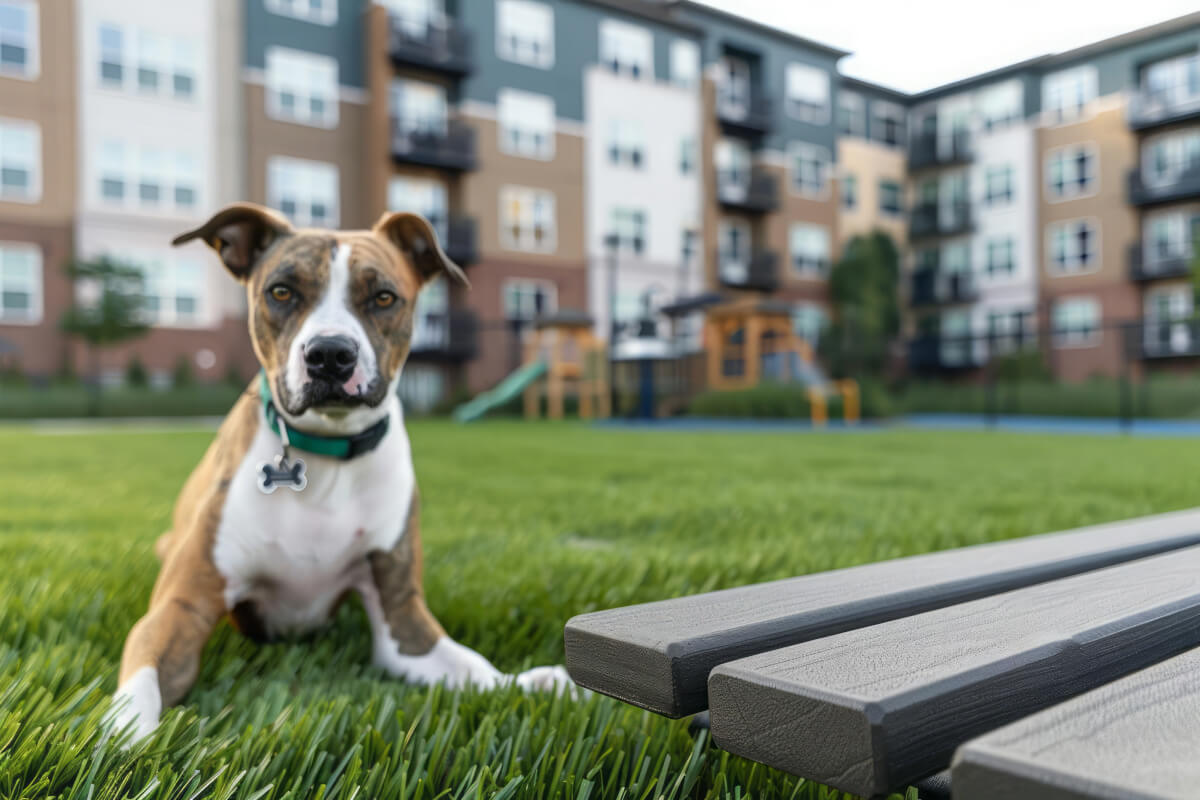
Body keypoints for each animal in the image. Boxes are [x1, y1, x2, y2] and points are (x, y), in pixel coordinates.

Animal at [108, 203, 566, 743]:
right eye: (281, 291)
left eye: (384, 297)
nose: (329, 354)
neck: (325, 450)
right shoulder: (182, 607)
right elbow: (143, 674)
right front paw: (124, 739)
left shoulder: (403, 621)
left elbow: (474, 668)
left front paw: (538, 682)